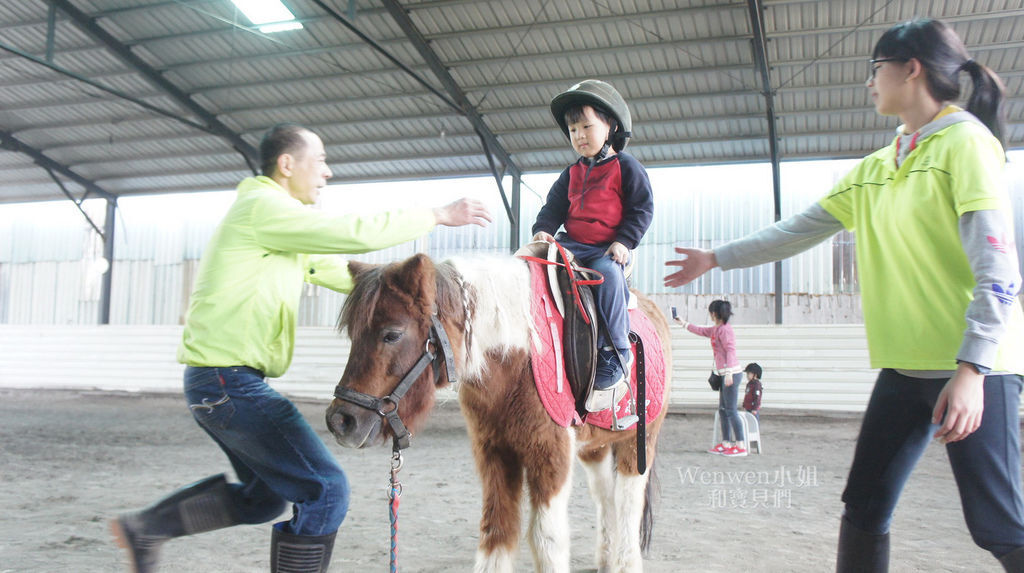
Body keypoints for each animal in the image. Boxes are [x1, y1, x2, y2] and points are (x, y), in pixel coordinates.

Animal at [323, 252, 667, 568]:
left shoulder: (550, 454)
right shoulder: (494, 451)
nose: (340, 421)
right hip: (595, 446)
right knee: (605, 496)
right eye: (353, 334)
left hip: (639, 442)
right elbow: (497, 532)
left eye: (392, 334)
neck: (515, 361)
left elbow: (546, 539)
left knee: (628, 503)